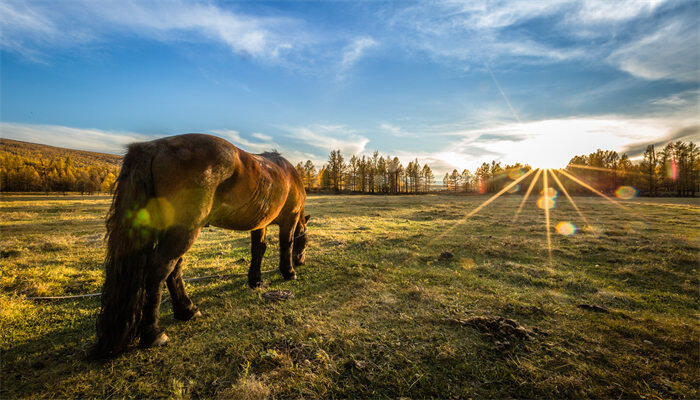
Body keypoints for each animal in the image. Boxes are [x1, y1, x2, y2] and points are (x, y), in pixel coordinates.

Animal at [91, 133, 310, 358]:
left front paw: (255, 280)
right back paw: (153, 333)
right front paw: (289, 272)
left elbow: (258, 249)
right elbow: (286, 244)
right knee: (160, 270)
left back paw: (186, 310)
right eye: (306, 241)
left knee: (173, 269)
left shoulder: (260, 223)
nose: (300, 262)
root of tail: (153, 147)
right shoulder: (290, 218)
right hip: (185, 232)